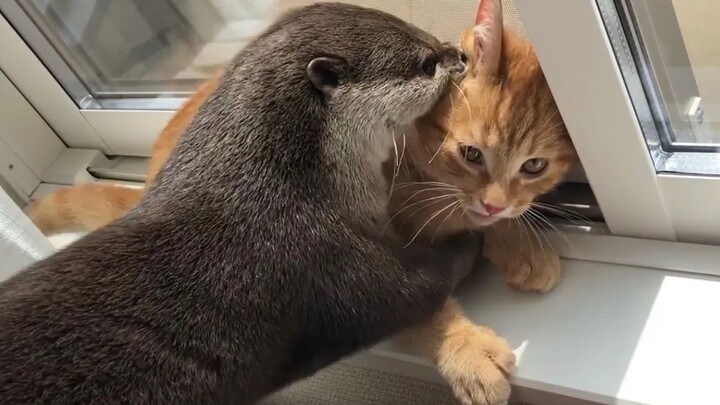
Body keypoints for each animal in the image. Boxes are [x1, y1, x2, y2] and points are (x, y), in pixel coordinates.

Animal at [28, 1, 576, 403]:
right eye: (471, 154)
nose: (453, 56)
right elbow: (417, 300)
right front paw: (467, 351)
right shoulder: (368, 259)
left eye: (534, 167)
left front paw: (521, 243)